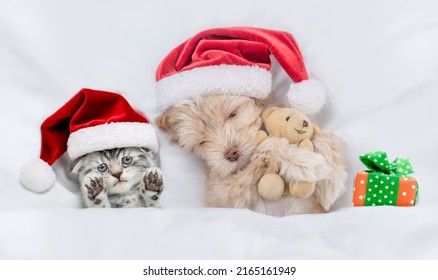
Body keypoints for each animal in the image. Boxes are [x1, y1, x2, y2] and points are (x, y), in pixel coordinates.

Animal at [156, 94, 348, 217]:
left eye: (233, 113)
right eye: (201, 142)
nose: (231, 153)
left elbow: (327, 137)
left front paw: (332, 180)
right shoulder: (224, 195)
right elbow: (268, 148)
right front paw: (304, 163)